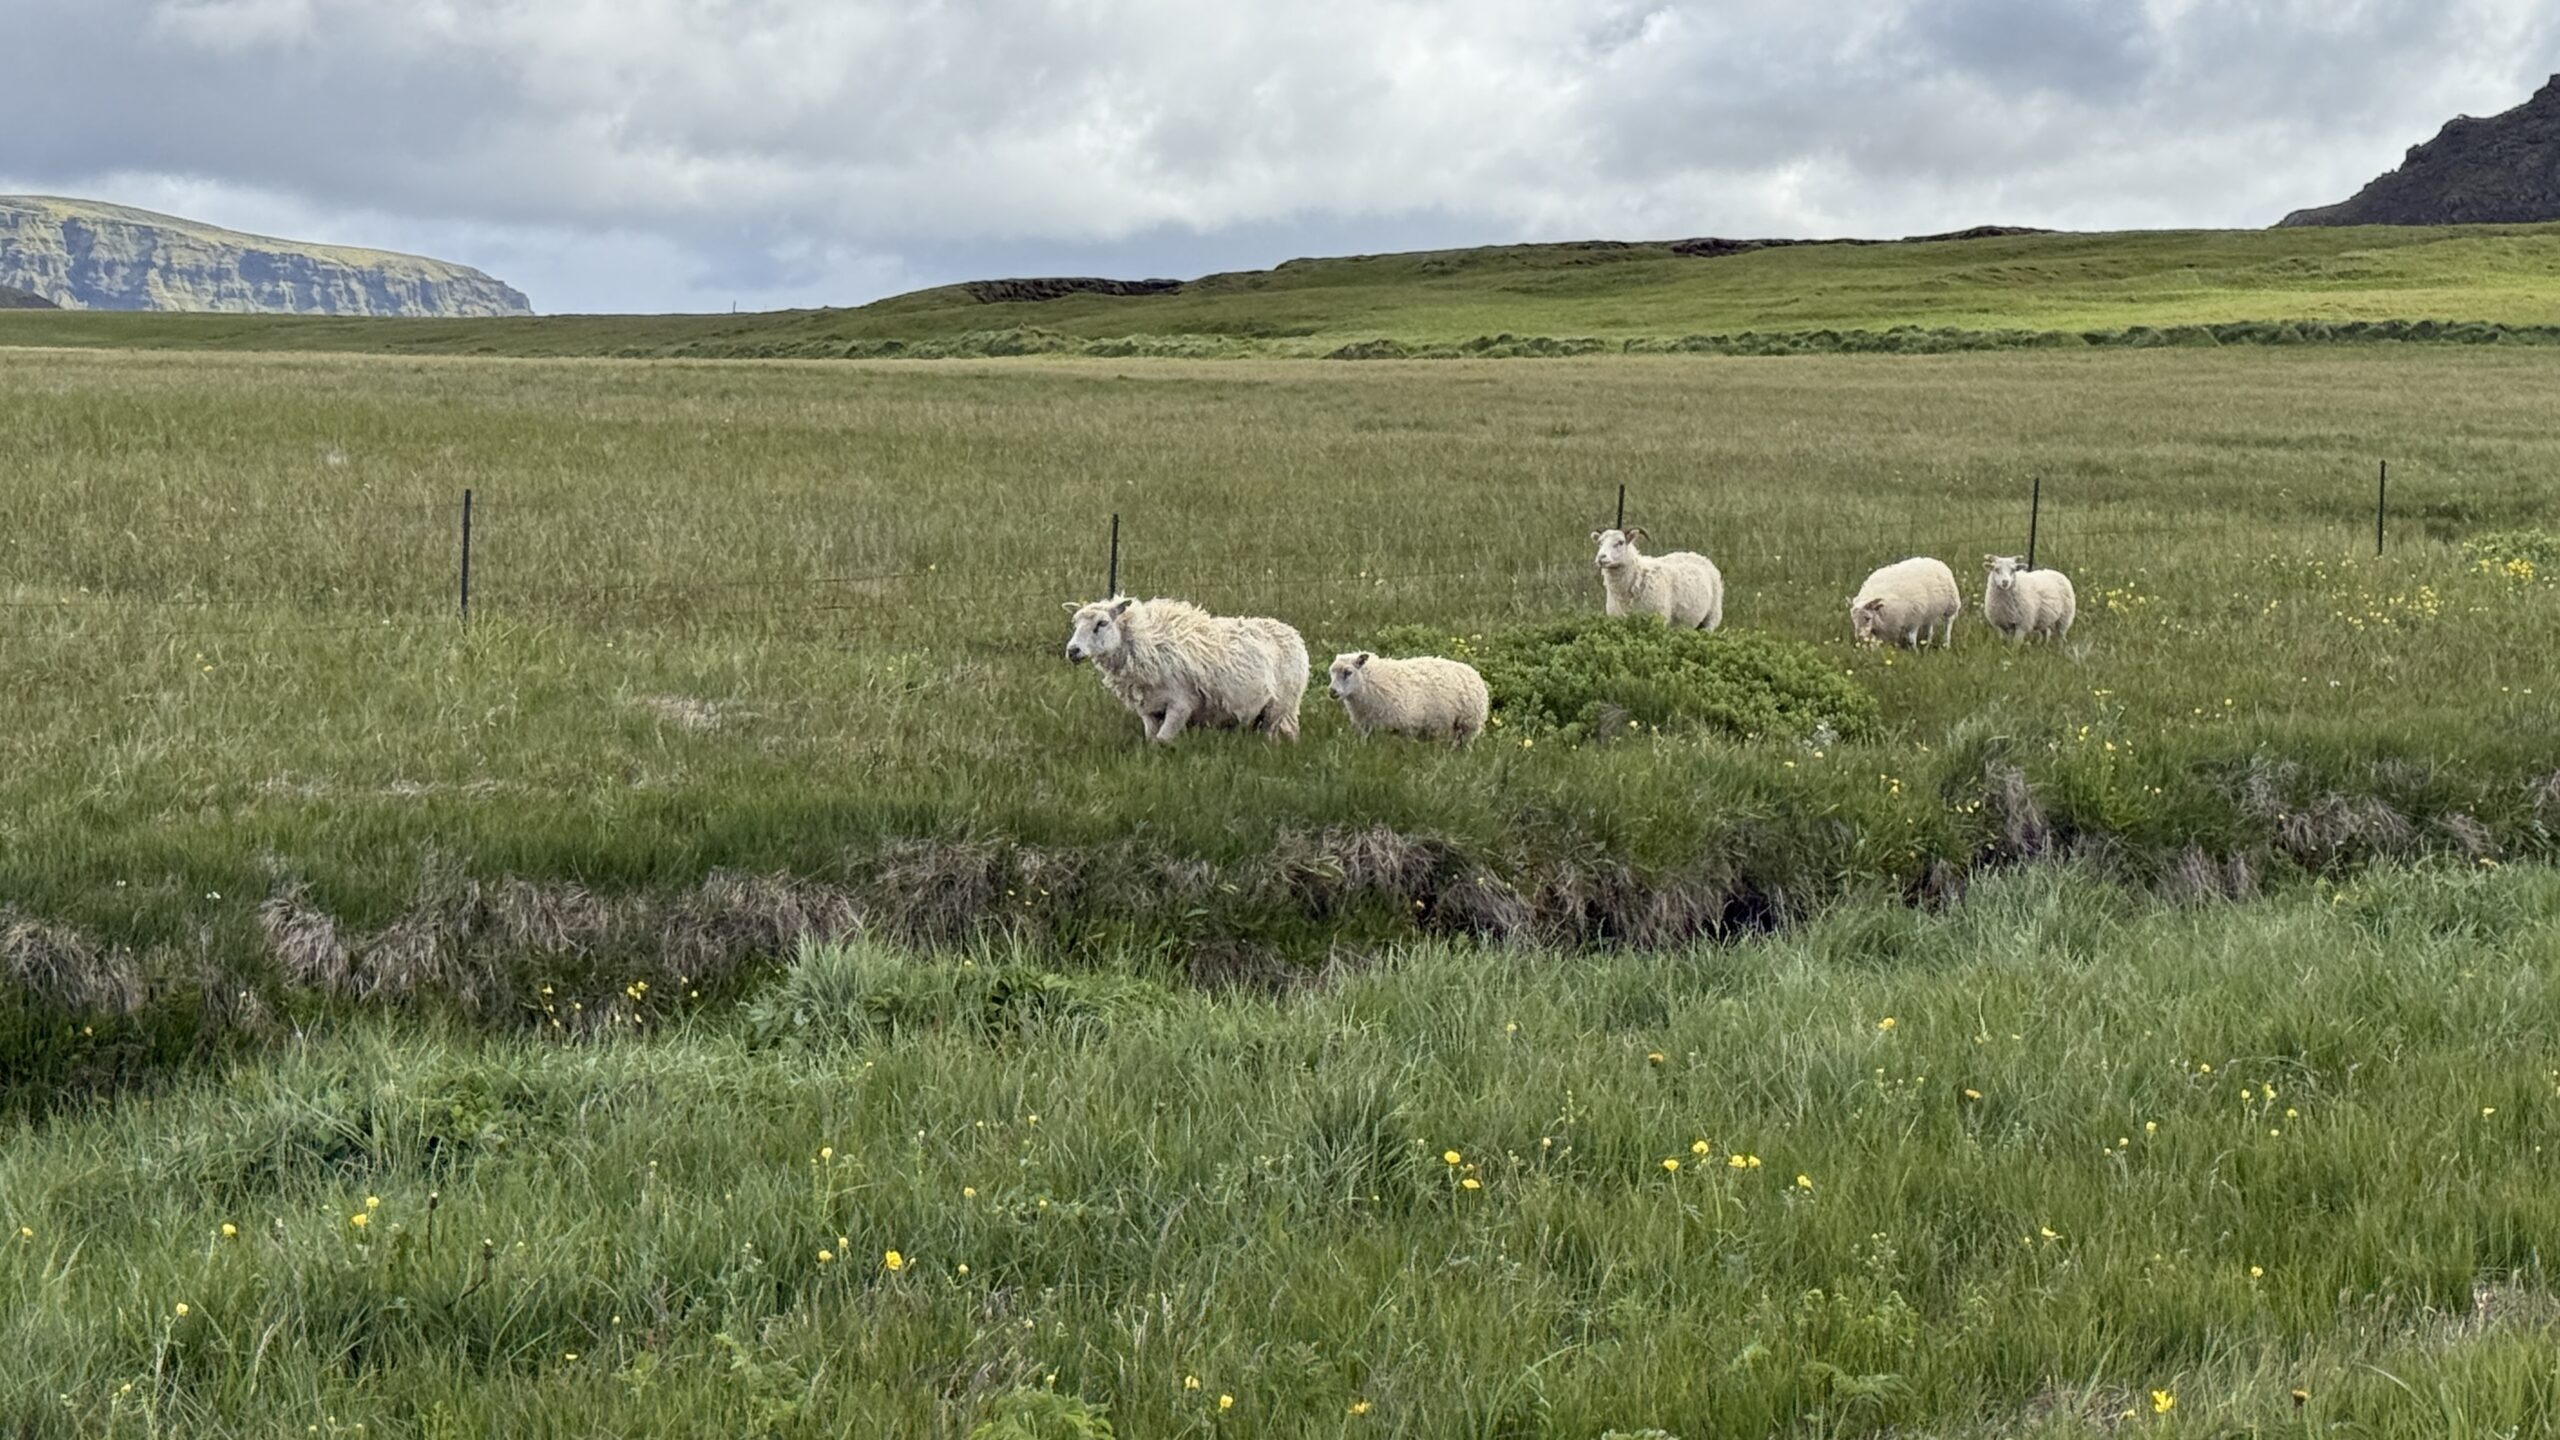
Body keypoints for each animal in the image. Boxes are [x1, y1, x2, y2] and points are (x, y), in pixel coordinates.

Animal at [1062, 596, 1309, 744]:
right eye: (1075, 624)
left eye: (1102, 623)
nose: (1072, 650)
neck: (1146, 642)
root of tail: (1292, 632)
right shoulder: (1149, 709)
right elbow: (1152, 740)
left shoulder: (1181, 704)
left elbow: (1162, 741)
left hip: (1280, 707)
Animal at [1326, 651, 1490, 744]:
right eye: (1331, 672)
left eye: (1348, 672)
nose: (1332, 691)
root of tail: (1474, 672)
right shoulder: (1370, 729)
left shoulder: (1405, 727)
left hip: (1468, 726)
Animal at [1591, 527, 1724, 631]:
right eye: (1600, 543)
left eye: (1620, 542)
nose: (1601, 557)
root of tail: (1698, 556)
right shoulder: (1618, 619)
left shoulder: (1658, 618)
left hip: (1711, 617)